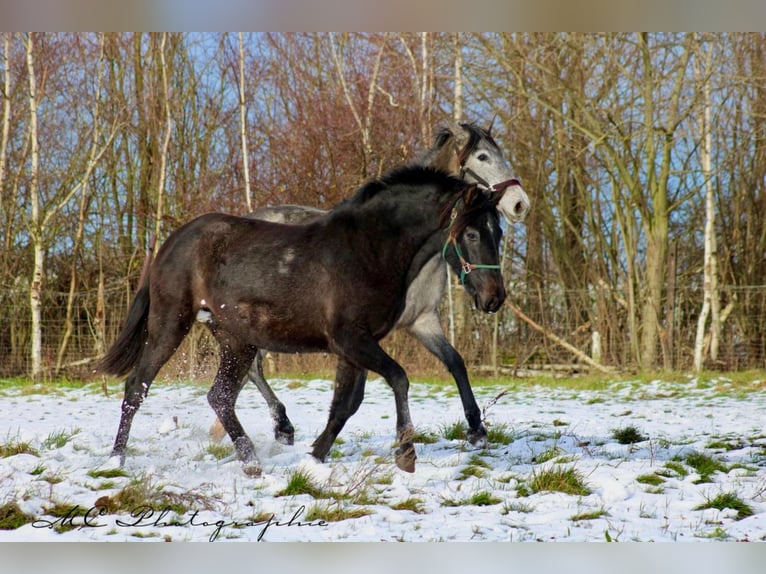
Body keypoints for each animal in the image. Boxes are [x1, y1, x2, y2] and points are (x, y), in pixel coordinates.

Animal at [100, 166, 510, 476]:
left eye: (500, 232)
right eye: (472, 233)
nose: (494, 298)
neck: (369, 250)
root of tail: (171, 243)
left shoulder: (356, 346)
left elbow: (347, 404)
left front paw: (315, 457)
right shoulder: (352, 339)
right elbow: (399, 378)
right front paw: (406, 453)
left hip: (236, 340)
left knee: (220, 396)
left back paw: (252, 460)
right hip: (171, 324)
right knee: (137, 387)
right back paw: (116, 460)